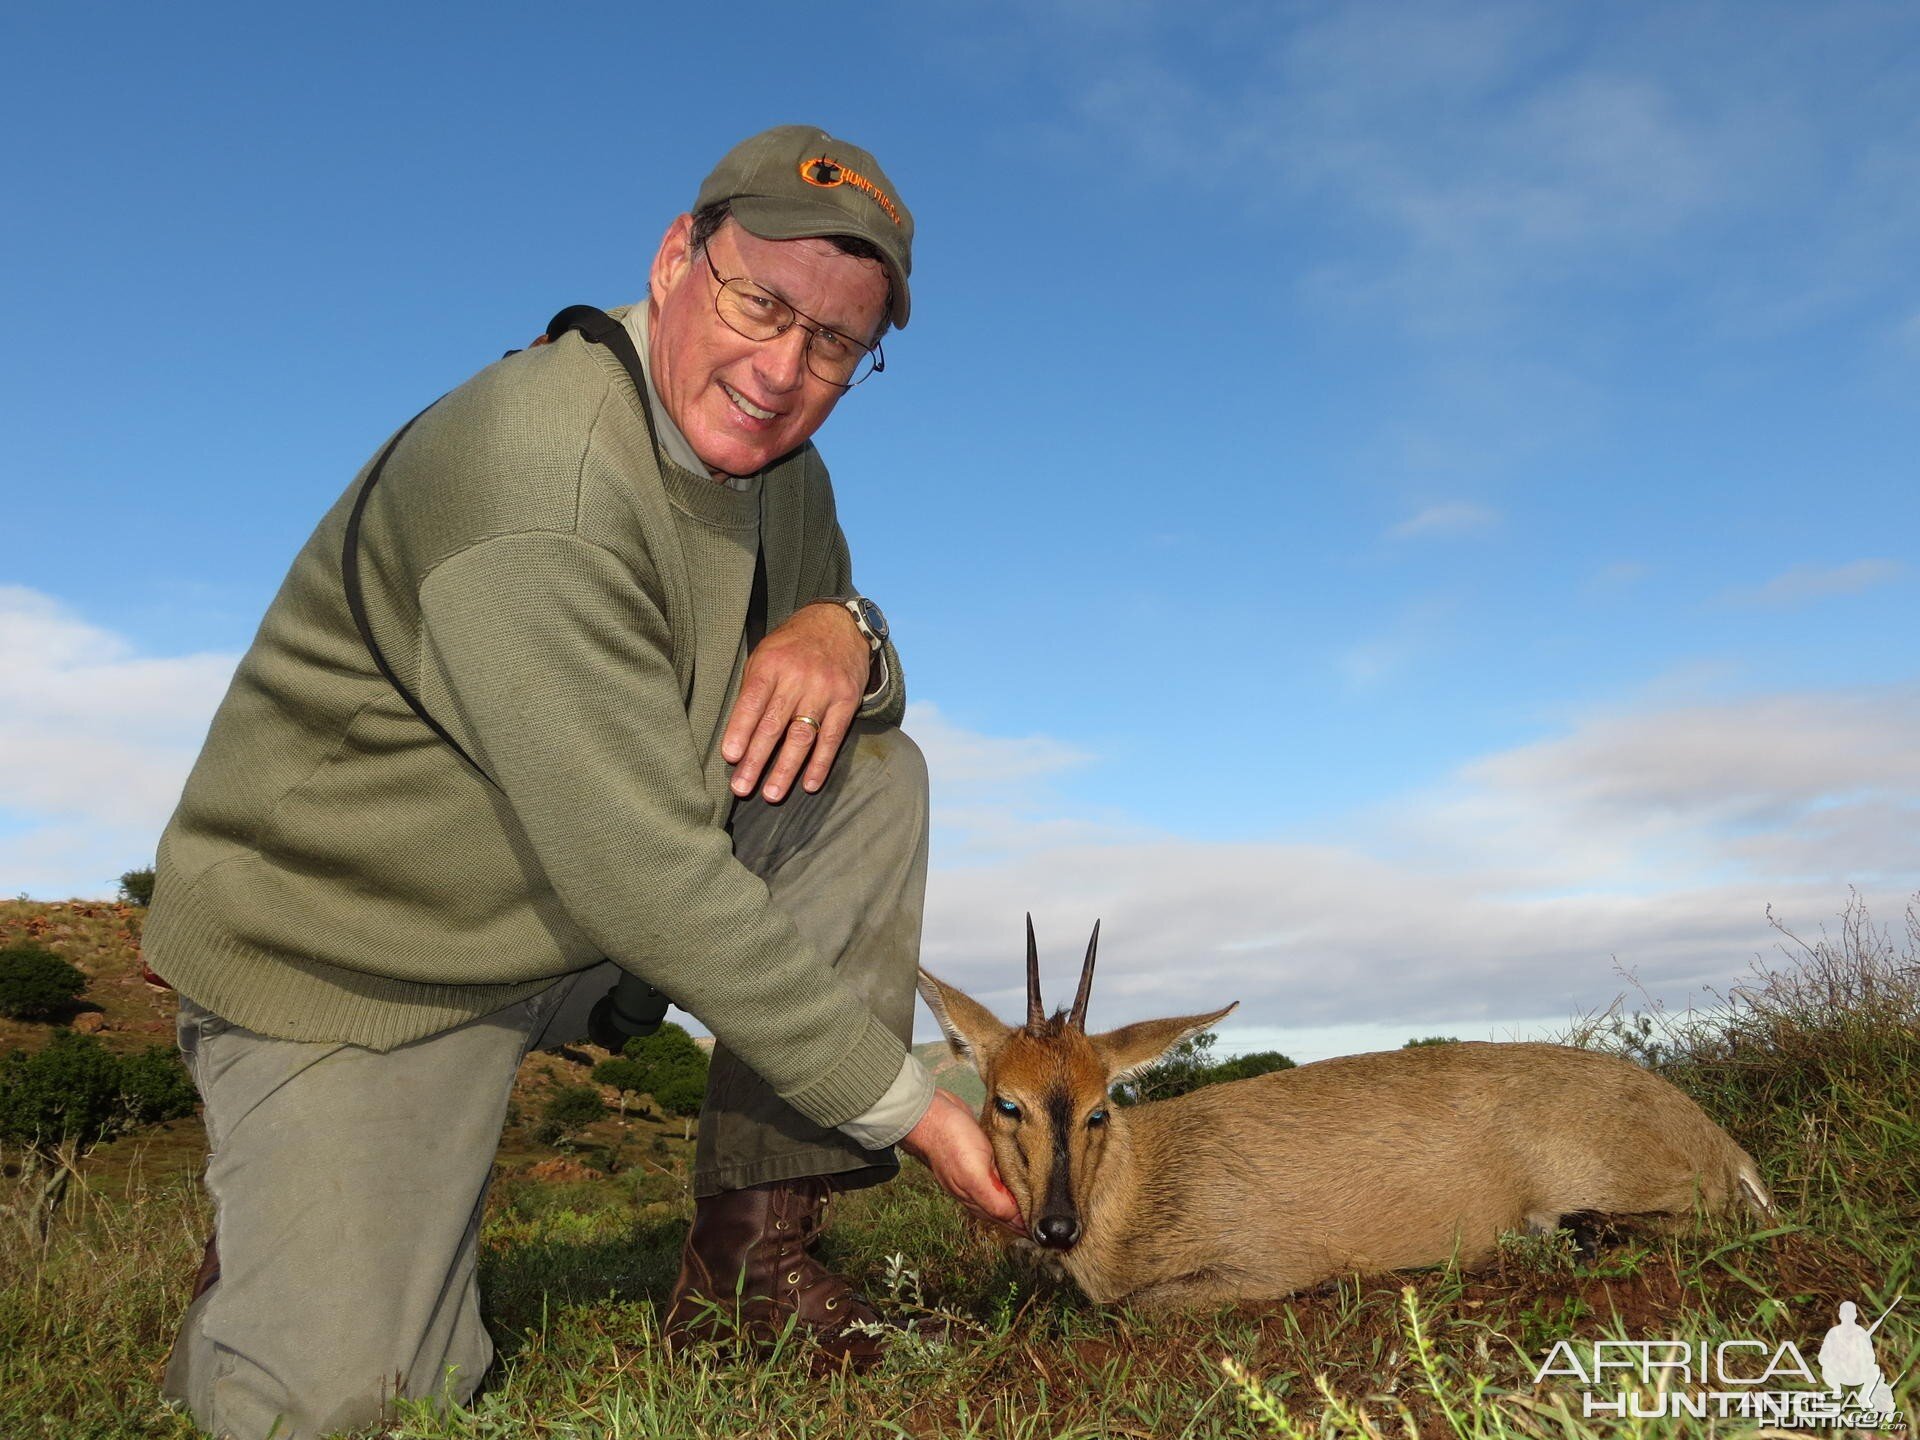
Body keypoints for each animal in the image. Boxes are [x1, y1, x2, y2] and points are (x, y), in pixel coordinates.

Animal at [921, 925, 1774, 1320]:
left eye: (1100, 1108)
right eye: (1007, 1102)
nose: (1056, 1226)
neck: (1140, 1192)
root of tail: (1714, 1137)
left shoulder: (1264, 1267)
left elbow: (1141, 1306)